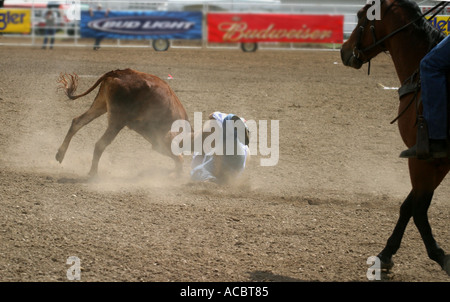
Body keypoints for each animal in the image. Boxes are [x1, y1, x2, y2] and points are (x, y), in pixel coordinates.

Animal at [342, 0, 450, 274]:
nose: (343, 51)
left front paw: (441, 256)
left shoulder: (424, 158)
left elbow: (418, 209)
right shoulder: (437, 161)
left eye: (361, 15)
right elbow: (408, 207)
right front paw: (385, 254)